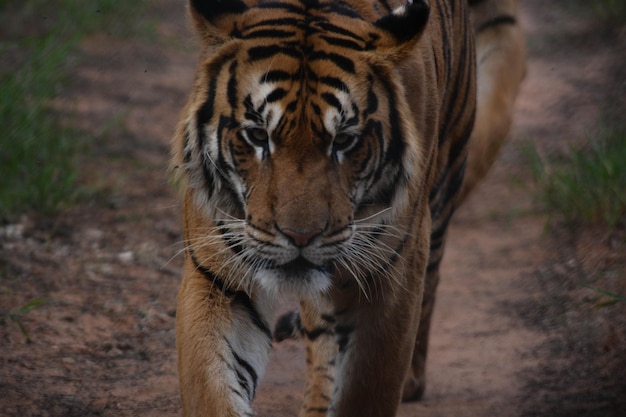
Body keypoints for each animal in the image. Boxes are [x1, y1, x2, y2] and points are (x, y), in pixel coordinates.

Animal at [169, 0, 520, 414]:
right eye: (257, 135)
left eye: (344, 141)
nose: (300, 237)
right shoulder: (217, 273)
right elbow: (212, 385)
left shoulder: (390, 273)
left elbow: (366, 387)